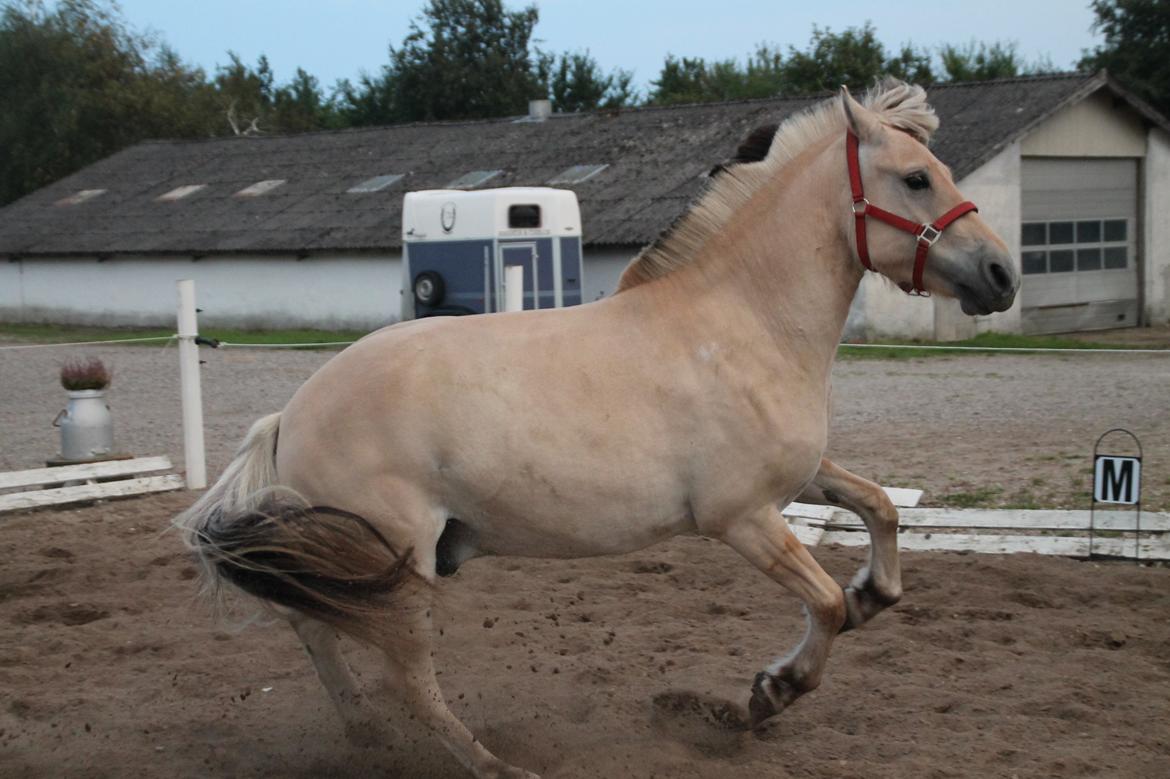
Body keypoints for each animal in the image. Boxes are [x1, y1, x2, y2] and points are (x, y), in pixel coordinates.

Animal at [177, 81, 1020, 771]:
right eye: (916, 178)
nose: (1002, 275)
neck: (743, 319)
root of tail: (290, 414)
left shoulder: (798, 476)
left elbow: (879, 509)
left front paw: (873, 593)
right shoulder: (741, 517)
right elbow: (825, 604)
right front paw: (766, 693)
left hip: (355, 559)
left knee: (315, 628)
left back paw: (367, 735)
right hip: (398, 560)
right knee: (404, 673)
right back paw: (492, 764)